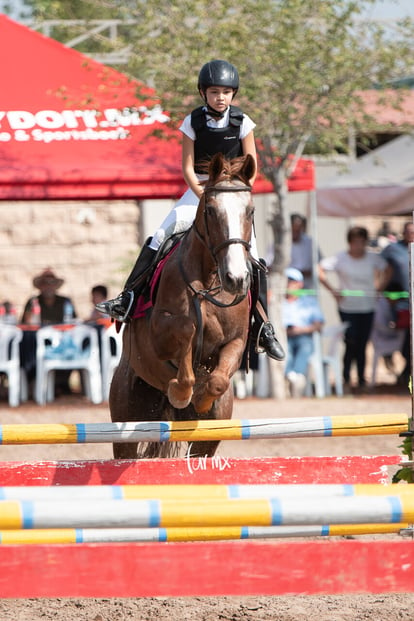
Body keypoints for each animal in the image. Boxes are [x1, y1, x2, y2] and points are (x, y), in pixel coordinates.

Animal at [110, 153, 258, 458]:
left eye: (250, 211)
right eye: (211, 211)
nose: (236, 279)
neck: (210, 278)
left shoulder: (237, 341)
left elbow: (218, 378)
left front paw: (200, 400)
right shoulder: (158, 335)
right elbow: (187, 329)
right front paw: (181, 392)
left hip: (206, 443)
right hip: (125, 424)